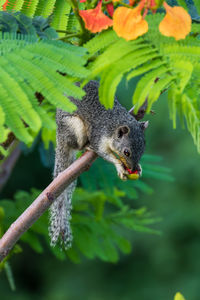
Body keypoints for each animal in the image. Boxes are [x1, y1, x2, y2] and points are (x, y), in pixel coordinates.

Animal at [49, 79, 148, 248]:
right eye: (126, 152)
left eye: (143, 149)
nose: (133, 168)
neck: (114, 123)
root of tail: (60, 135)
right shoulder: (99, 136)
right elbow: (103, 153)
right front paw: (119, 167)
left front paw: (139, 168)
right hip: (74, 127)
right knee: (76, 144)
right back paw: (85, 146)